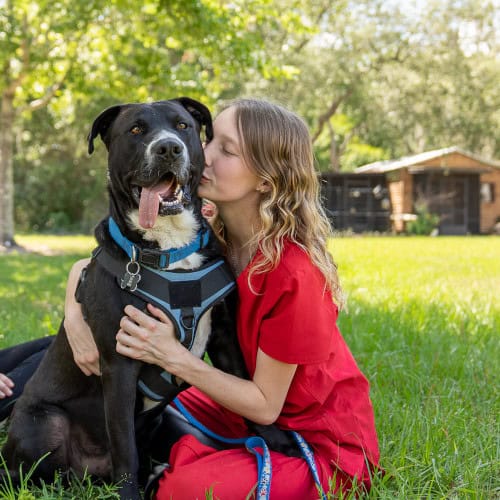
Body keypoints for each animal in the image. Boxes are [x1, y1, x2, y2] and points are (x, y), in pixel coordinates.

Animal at [0, 98, 296, 500]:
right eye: (136, 130)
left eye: (183, 125)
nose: (169, 147)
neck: (170, 250)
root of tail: (88, 475)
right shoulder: (119, 363)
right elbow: (124, 446)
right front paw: (129, 494)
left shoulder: (223, 338)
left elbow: (249, 392)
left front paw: (276, 441)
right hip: (45, 424)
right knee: (27, 474)